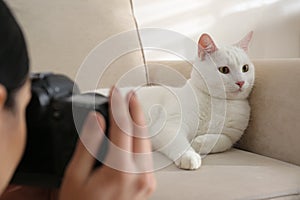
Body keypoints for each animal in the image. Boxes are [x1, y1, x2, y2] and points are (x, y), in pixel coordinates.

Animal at [137, 31, 255, 169]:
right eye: (224, 70)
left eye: (245, 68)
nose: (241, 82)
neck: (218, 102)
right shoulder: (169, 125)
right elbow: (179, 141)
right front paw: (189, 156)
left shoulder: (231, 136)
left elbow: (223, 140)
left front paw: (198, 142)